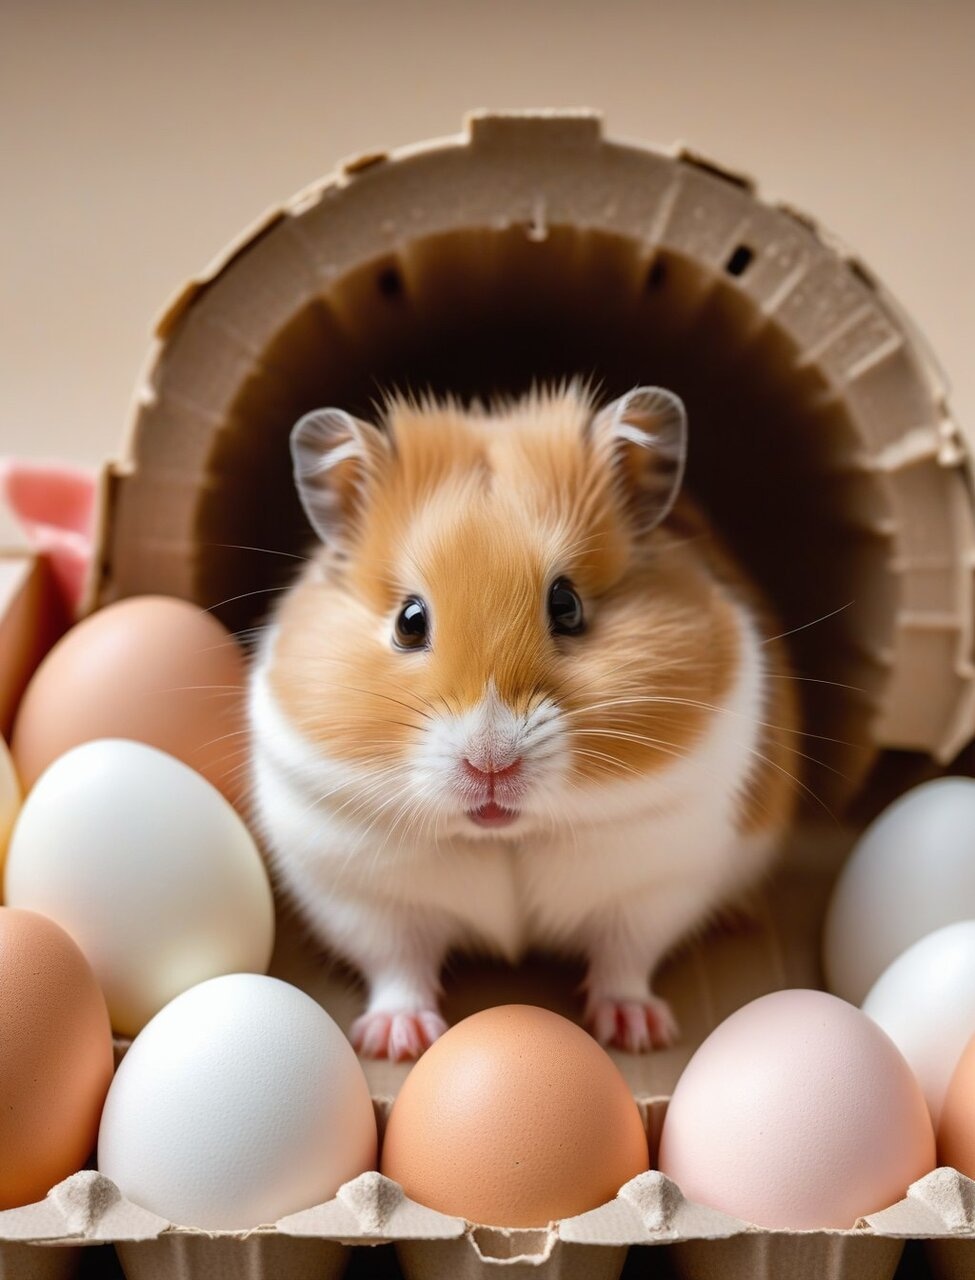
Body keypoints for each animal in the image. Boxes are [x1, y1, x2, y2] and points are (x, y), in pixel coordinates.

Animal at [248, 381, 798, 1060]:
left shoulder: (654, 884)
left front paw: (638, 1033)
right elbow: (398, 963)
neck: (504, 835)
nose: (490, 765)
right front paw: (398, 1042)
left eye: (567, 606)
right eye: (409, 621)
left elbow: (625, 957)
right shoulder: (361, 893)